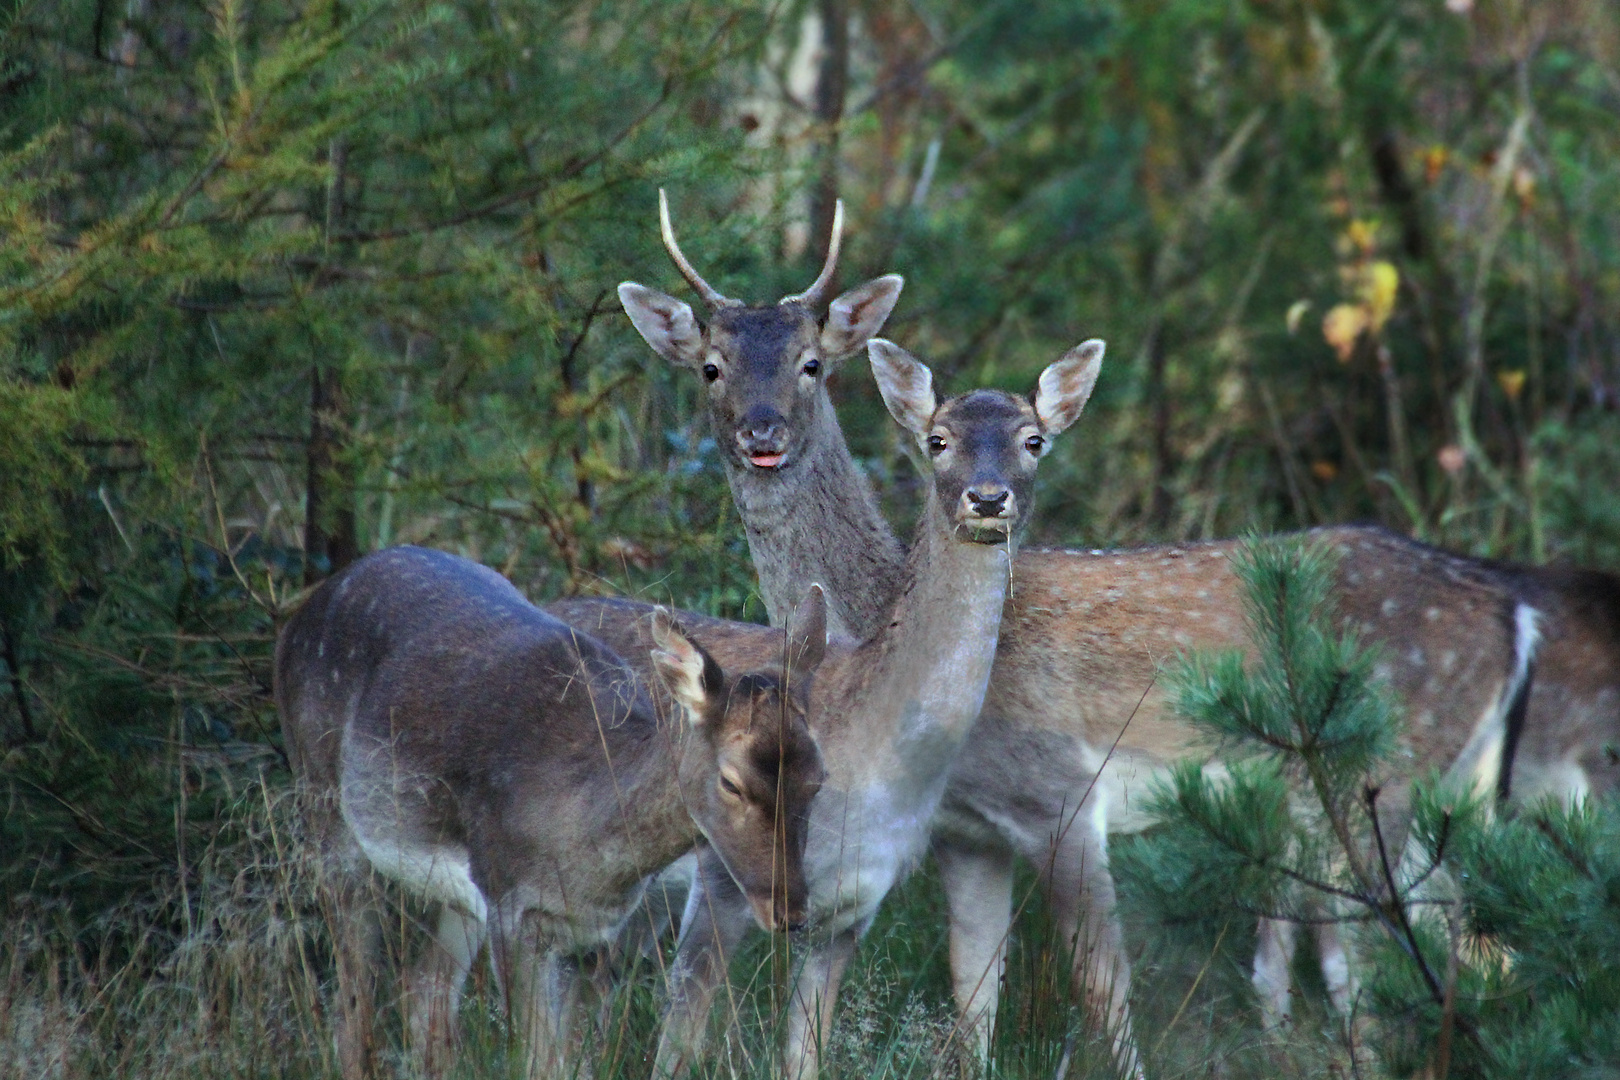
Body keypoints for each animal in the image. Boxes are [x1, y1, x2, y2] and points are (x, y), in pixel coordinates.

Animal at [273, 550, 829, 1080]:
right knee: (353, 1000)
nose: (791, 912)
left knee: (425, 990)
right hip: (325, 809)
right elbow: (533, 1061)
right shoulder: (512, 907)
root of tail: (298, 616)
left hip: (455, 891)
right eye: (731, 782)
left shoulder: (591, 931)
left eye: (818, 777)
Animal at [554, 331, 1101, 1080]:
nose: (988, 499)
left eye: (1034, 439)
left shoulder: (853, 909)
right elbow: (678, 1043)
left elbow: (805, 1050)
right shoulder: (722, 876)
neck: (876, 772)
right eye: (937, 439)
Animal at [615, 194, 1542, 1075]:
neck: (872, 624)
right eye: (711, 366)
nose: (762, 433)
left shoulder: (1060, 793)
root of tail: (1516, 611)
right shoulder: (966, 831)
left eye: (812, 364)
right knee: (1471, 929)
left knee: (1407, 938)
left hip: (1385, 770)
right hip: (1442, 782)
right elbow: (973, 990)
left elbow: (1101, 989)